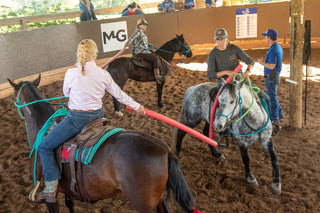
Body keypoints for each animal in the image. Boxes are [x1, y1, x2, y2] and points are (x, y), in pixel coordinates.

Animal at [8, 75, 195, 213]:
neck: (42, 126)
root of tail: (164, 150)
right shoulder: (67, 189)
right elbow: (70, 205)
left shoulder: (49, 198)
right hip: (158, 200)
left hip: (144, 205)